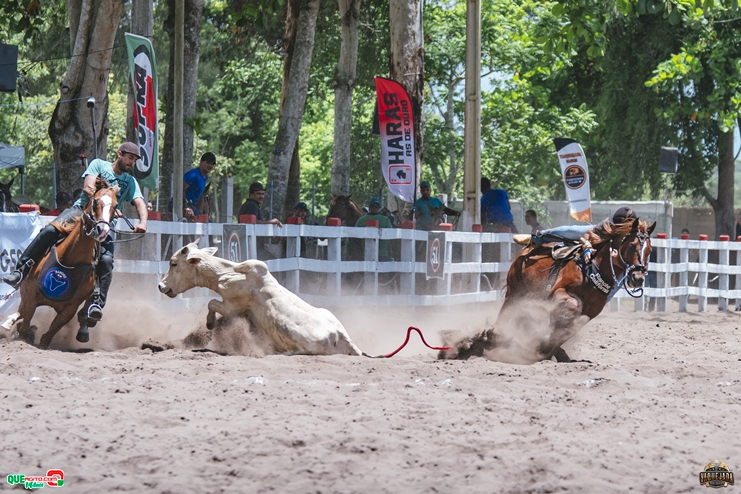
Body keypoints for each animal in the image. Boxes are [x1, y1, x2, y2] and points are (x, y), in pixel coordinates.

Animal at [11, 178, 118, 348]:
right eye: (95, 202)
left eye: (115, 206)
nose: (102, 230)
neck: (70, 258)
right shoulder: (31, 295)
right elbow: (25, 325)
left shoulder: (71, 307)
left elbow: (49, 333)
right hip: (25, 289)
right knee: (21, 310)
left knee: (85, 313)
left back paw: (85, 328)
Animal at [158, 243, 362, 356]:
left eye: (173, 263)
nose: (160, 285)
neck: (226, 274)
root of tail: (340, 336)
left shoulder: (233, 307)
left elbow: (211, 304)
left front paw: (210, 324)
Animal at [440, 218, 652, 360]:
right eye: (631, 246)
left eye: (649, 250)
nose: (638, 278)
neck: (592, 271)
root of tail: (527, 249)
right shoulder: (557, 293)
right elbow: (571, 306)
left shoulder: (591, 312)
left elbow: (572, 326)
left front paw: (551, 349)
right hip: (514, 294)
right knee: (504, 316)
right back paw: (490, 339)